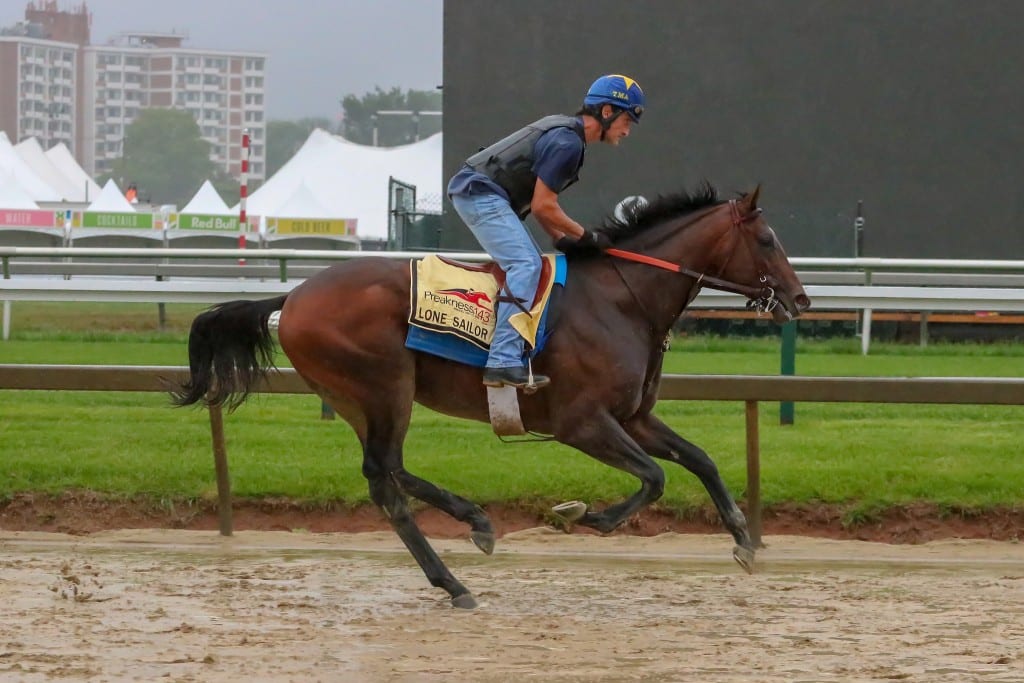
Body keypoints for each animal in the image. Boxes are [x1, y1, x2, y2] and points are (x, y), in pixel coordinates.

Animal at [169, 181, 806, 610]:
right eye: (767, 238)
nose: (800, 299)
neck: (622, 298)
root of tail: (293, 296)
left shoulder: (633, 416)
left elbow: (700, 460)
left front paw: (744, 541)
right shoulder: (580, 422)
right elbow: (655, 477)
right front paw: (581, 516)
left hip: (355, 398)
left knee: (385, 477)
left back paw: (458, 560)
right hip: (384, 386)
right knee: (386, 471)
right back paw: (468, 543)